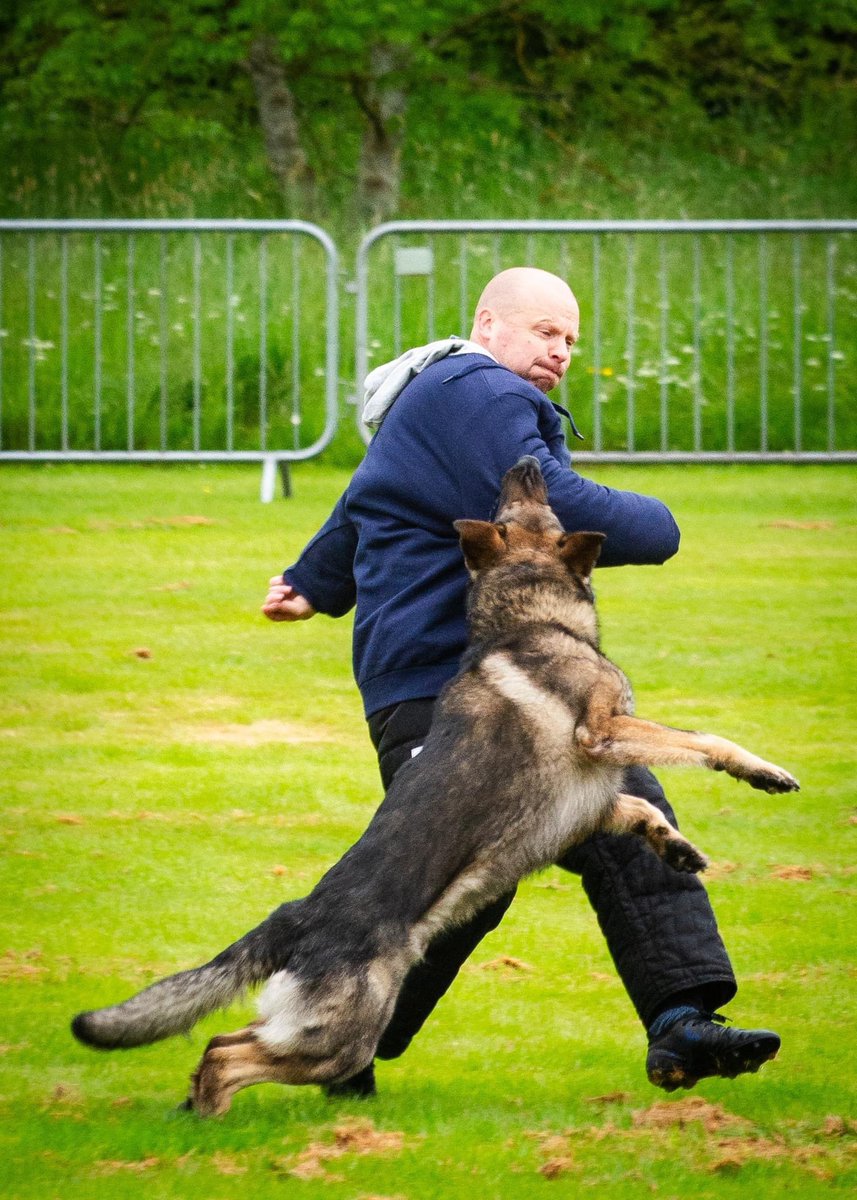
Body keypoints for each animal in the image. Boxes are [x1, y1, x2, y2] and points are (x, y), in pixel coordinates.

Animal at [70, 456, 796, 1113]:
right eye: (523, 506)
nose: (526, 458)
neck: (525, 618)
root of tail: (296, 916)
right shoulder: (604, 731)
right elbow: (704, 740)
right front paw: (763, 771)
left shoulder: (585, 803)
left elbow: (641, 807)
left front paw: (677, 849)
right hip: (341, 1036)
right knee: (230, 1055)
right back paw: (212, 1123)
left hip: (318, 1030)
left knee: (226, 1042)